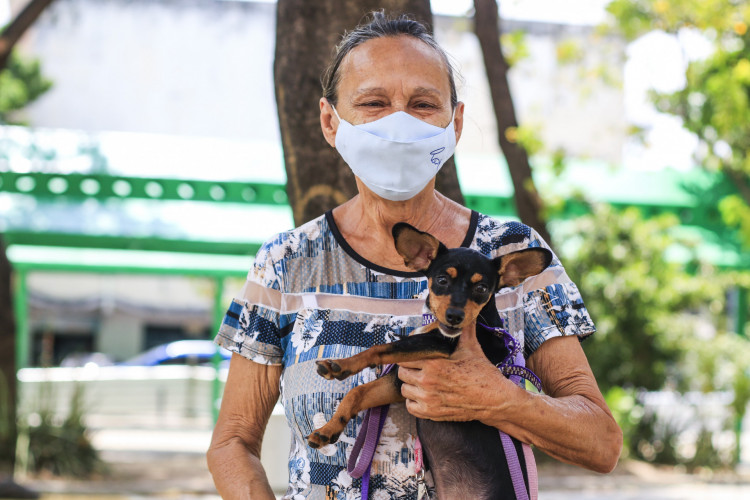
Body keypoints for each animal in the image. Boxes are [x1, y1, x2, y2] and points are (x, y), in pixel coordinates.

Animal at [308, 224, 556, 500]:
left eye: (481, 288)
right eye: (442, 280)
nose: (455, 316)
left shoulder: (439, 346)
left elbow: (383, 348)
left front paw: (342, 365)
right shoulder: (401, 382)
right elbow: (357, 393)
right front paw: (328, 429)